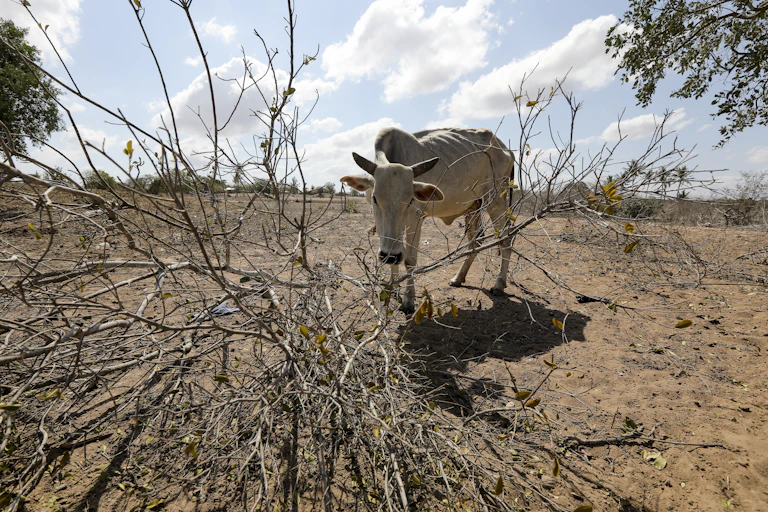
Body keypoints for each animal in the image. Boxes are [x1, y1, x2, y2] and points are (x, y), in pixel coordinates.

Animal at [340, 127, 516, 314]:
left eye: (410, 200)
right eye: (375, 199)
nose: (390, 256)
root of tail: (505, 149)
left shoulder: (416, 219)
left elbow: (409, 260)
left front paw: (408, 300)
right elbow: (395, 257)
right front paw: (393, 287)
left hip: (496, 199)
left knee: (506, 239)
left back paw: (499, 284)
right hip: (474, 207)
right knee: (475, 241)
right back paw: (458, 278)